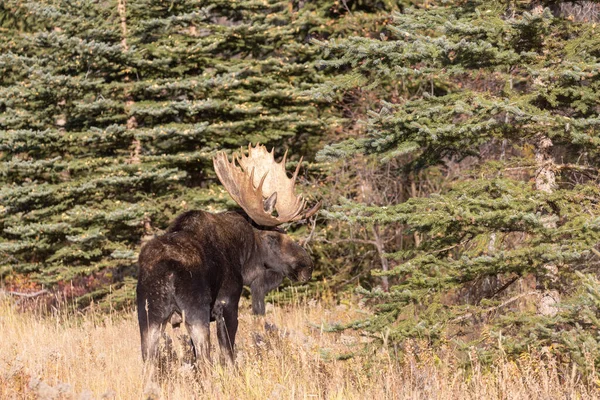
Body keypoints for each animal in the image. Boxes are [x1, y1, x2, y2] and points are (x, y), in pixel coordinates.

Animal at [136, 144, 322, 366]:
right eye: (273, 236)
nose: (307, 265)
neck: (242, 255)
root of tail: (166, 271)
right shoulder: (227, 305)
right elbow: (229, 357)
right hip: (195, 312)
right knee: (205, 362)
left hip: (149, 318)